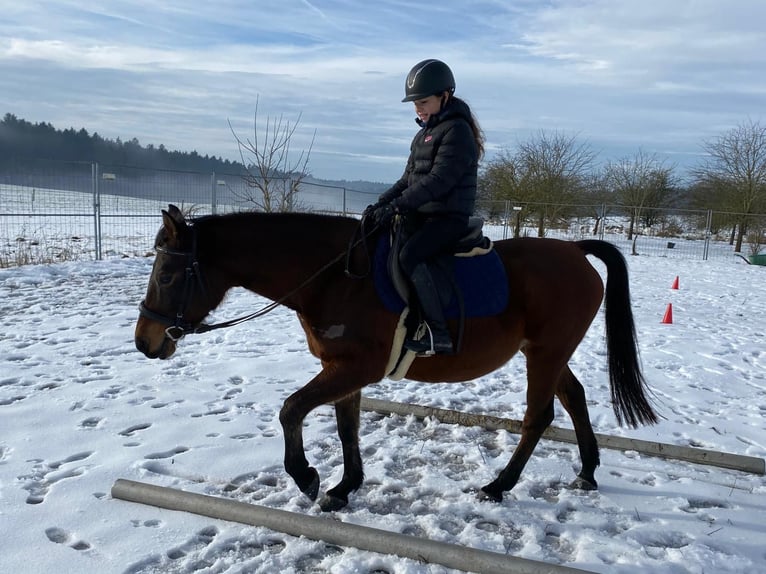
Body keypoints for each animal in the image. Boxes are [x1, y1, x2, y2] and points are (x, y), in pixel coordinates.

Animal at [135, 206, 656, 512]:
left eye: (167, 273)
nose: (145, 341)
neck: (335, 278)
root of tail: (575, 251)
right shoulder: (341, 368)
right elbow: (346, 425)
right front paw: (343, 488)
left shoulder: (354, 367)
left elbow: (291, 409)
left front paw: (307, 478)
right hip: (547, 352)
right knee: (574, 398)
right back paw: (587, 471)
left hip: (545, 354)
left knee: (539, 417)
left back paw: (498, 486)